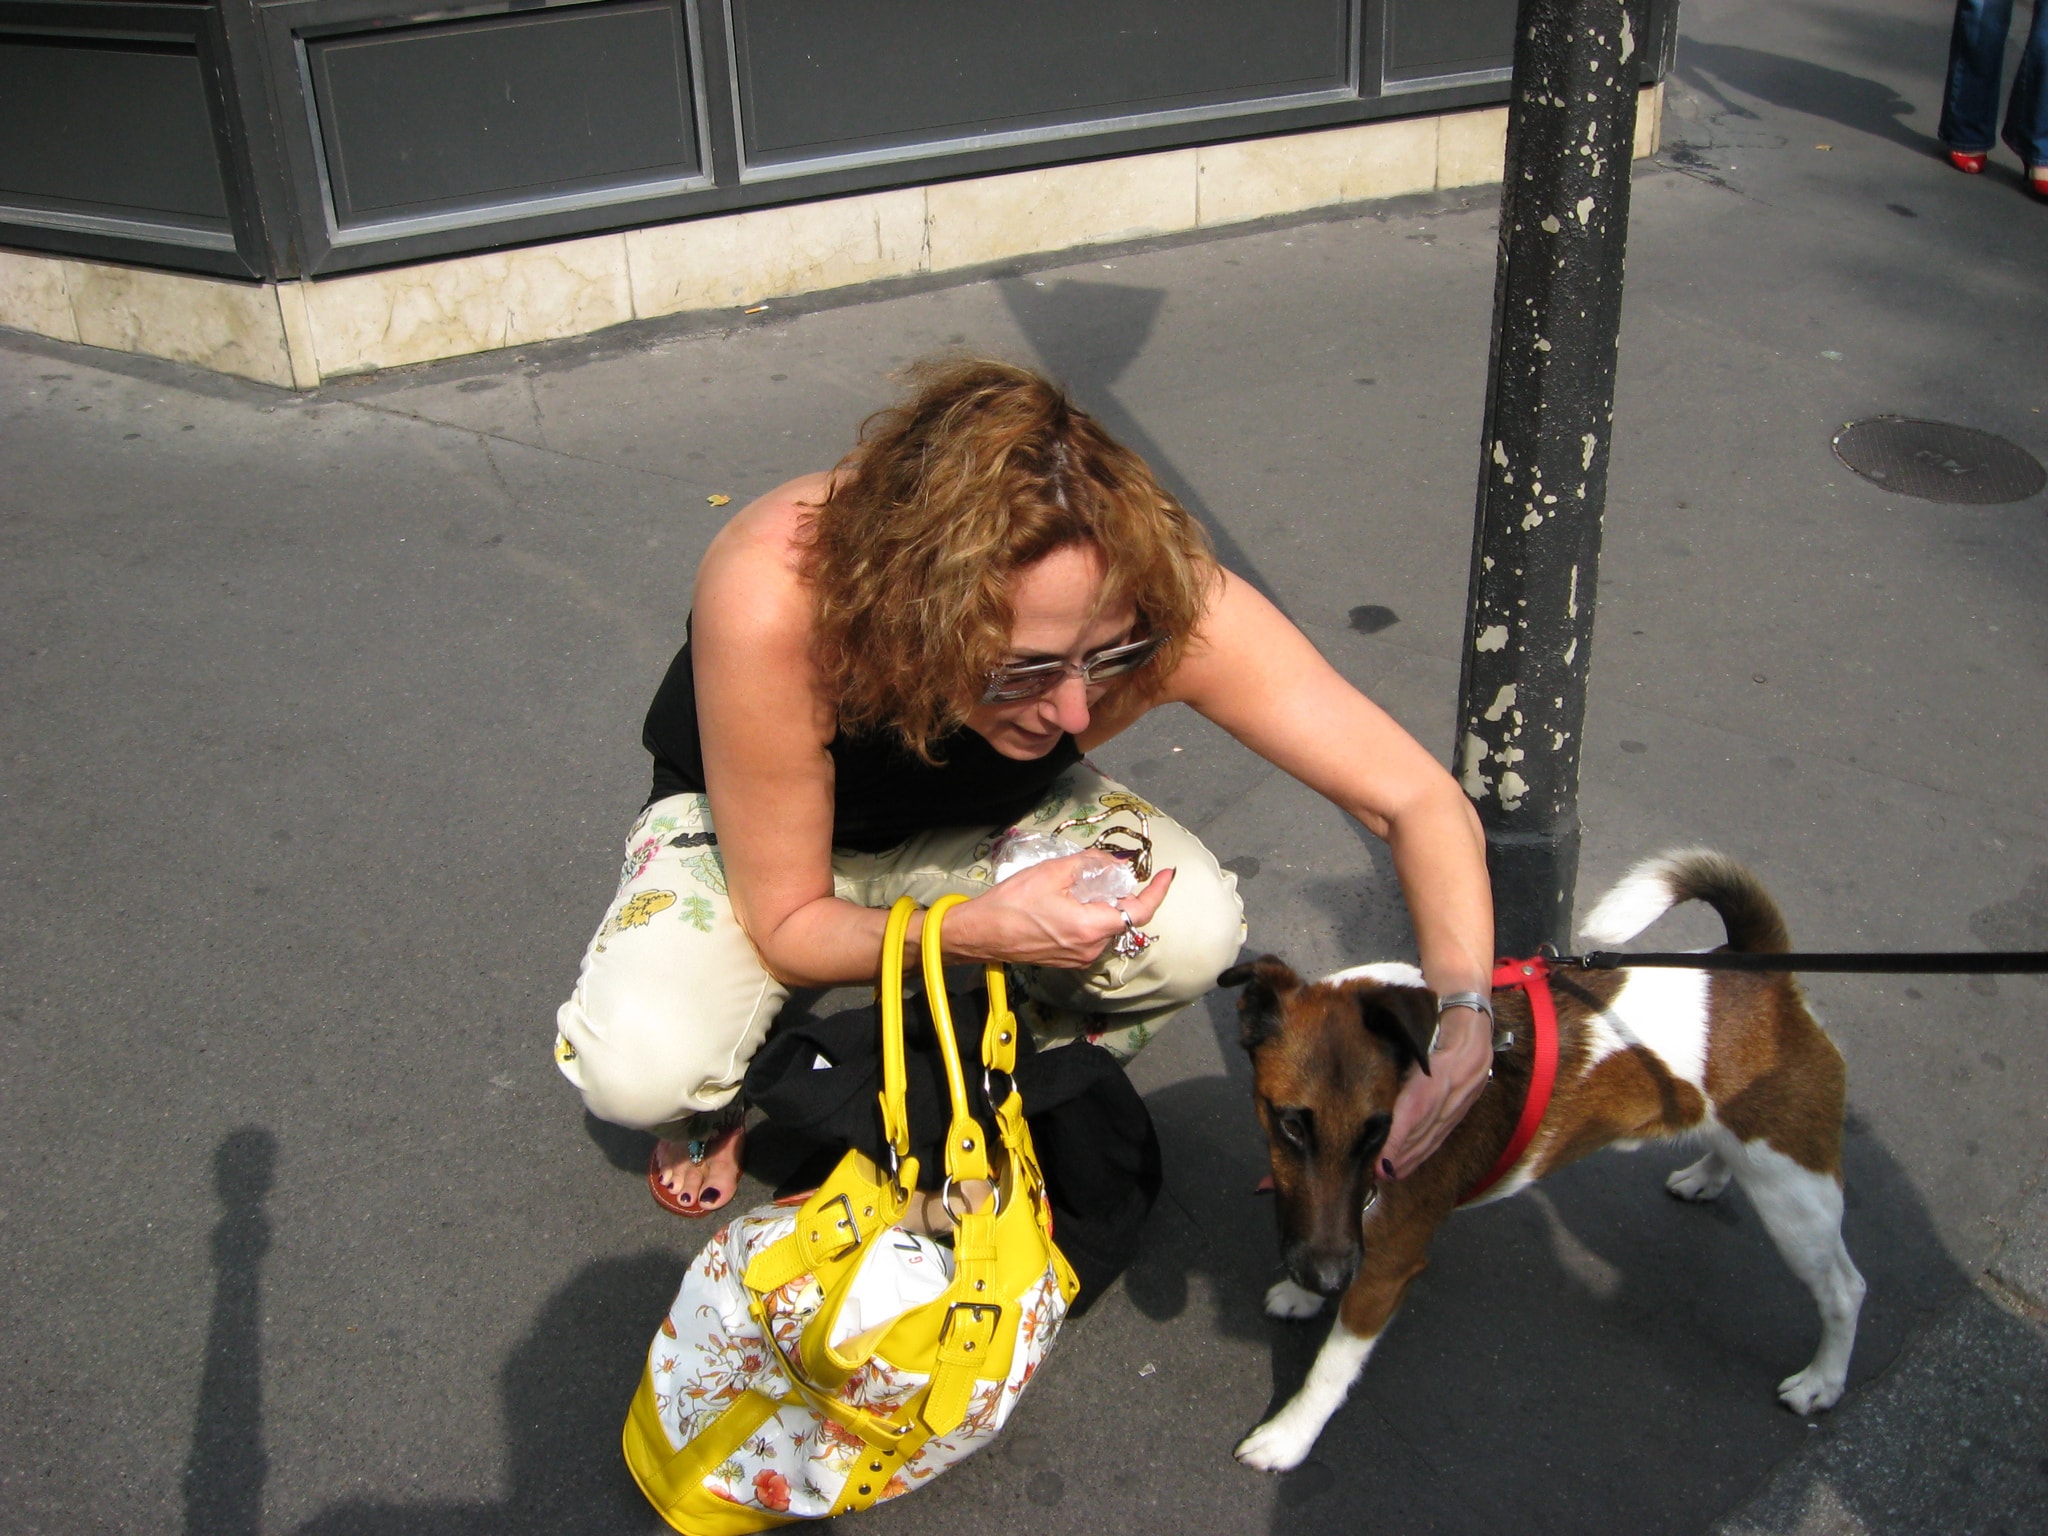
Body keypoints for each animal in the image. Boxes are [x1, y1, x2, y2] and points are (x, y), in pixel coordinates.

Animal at [1220, 847, 1867, 1474]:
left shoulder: (1386, 1269)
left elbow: (1330, 1370)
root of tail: (1758, 969)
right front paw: (1303, 1295)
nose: (1327, 1279)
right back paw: (1707, 1176)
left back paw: (1822, 1381)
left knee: (1844, 1290)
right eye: (1289, 1124)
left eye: (1379, 1131)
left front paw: (1289, 1435)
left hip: (1796, 1196)